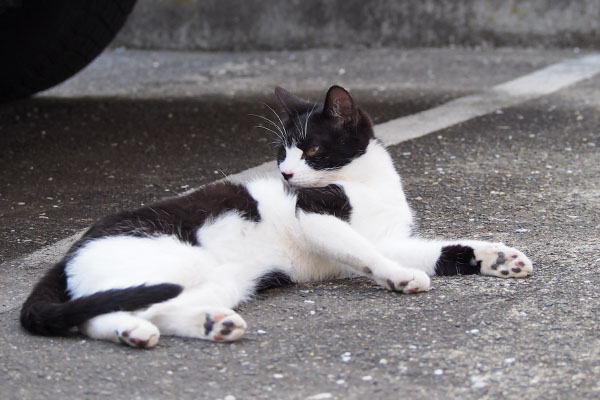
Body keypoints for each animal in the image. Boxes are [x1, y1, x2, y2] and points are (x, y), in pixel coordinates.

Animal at [19, 84, 536, 346]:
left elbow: (441, 248)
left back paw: (204, 325)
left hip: (219, 281)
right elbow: (366, 251)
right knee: (101, 311)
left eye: (309, 149)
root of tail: (67, 256)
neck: (368, 182)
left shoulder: (393, 237)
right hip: (171, 264)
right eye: (280, 152)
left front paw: (497, 257)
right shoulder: (317, 215)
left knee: (135, 312)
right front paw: (399, 277)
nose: (286, 172)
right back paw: (140, 329)